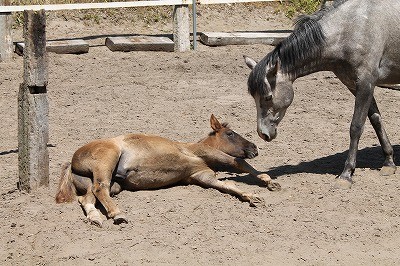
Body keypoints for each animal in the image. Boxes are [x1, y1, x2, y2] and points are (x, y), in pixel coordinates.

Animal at [56, 114, 280, 227]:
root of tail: (72, 161)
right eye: (230, 133)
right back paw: (117, 214)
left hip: (112, 184)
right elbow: (238, 163)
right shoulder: (206, 153)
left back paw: (95, 218)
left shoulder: (201, 176)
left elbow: (228, 185)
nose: (255, 147)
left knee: (87, 197)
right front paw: (267, 181)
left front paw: (251, 196)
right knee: (99, 189)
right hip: (107, 161)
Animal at [244, 0, 400, 188]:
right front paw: (389, 162)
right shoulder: (354, 85)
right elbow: (376, 120)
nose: (263, 133)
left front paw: (346, 174)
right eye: (254, 98)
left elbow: (356, 127)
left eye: (268, 97)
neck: (352, 28)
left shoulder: (366, 84)